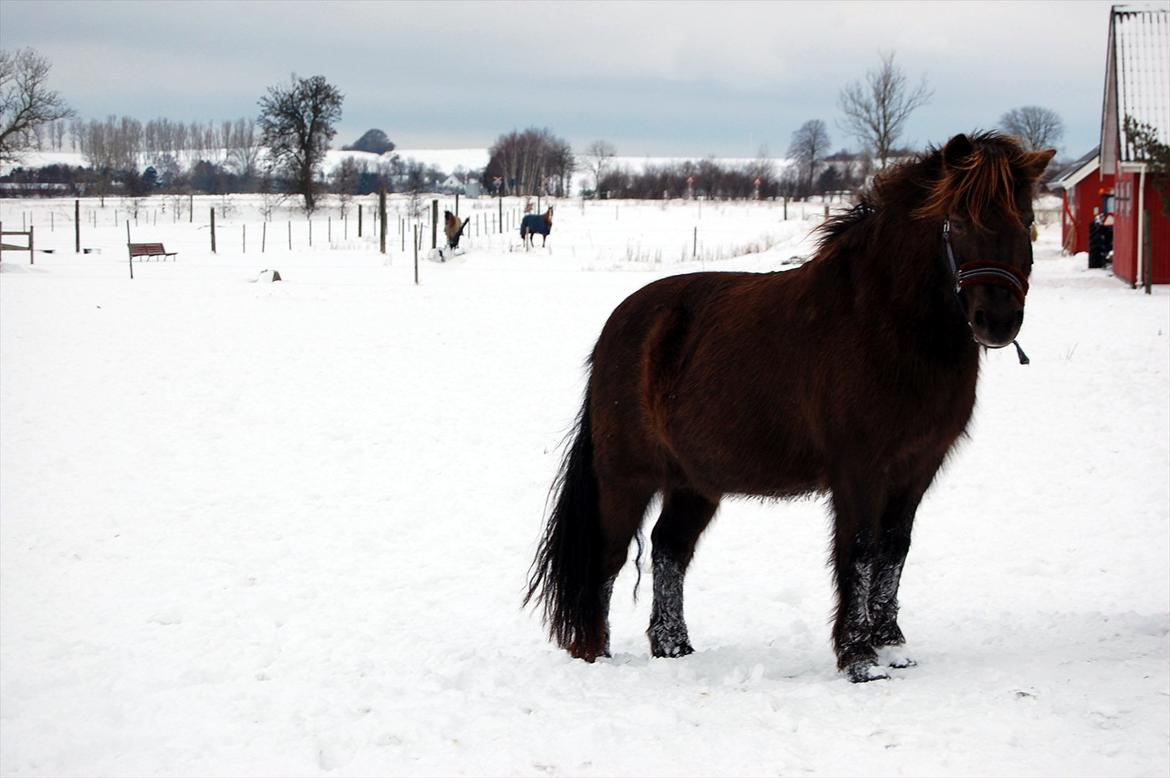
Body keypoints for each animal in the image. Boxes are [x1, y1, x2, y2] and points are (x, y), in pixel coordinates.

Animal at [526, 133, 1057, 678]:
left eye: (1024, 220)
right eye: (960, 220)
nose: (998, 320)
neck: (886, 324)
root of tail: (618, 327)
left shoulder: (916, 468)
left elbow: (894, 551)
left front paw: (893, 647)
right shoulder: (860, 469)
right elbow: (859, 551)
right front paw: (860, 658)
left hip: (694, 481)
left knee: (669, 549)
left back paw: (673, 646)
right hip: (625, 476)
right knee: (607, 557)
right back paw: (595, 653)